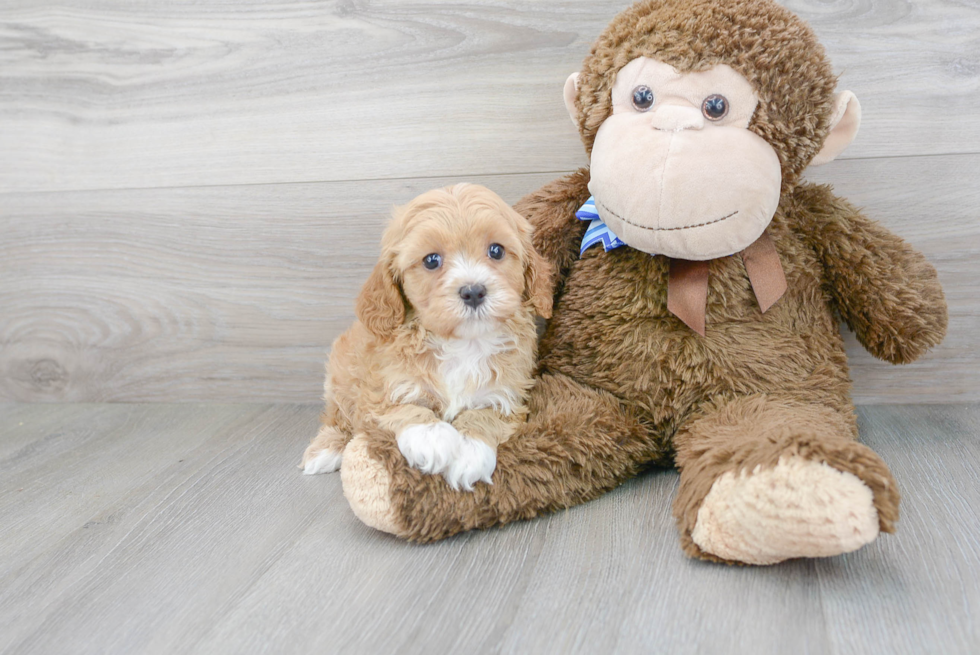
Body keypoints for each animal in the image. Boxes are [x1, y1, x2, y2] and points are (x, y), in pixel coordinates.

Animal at [300, 182, 552, 490]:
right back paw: (326, 449)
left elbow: (485, 416)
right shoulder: (378, 389)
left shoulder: (508, 395)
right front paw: (432, 438)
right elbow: (402, 407)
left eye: (496, 250)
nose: (473, 291)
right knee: (337, 417)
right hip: (340, 379)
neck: (463, 344)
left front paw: (469, 451)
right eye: (432, 260)